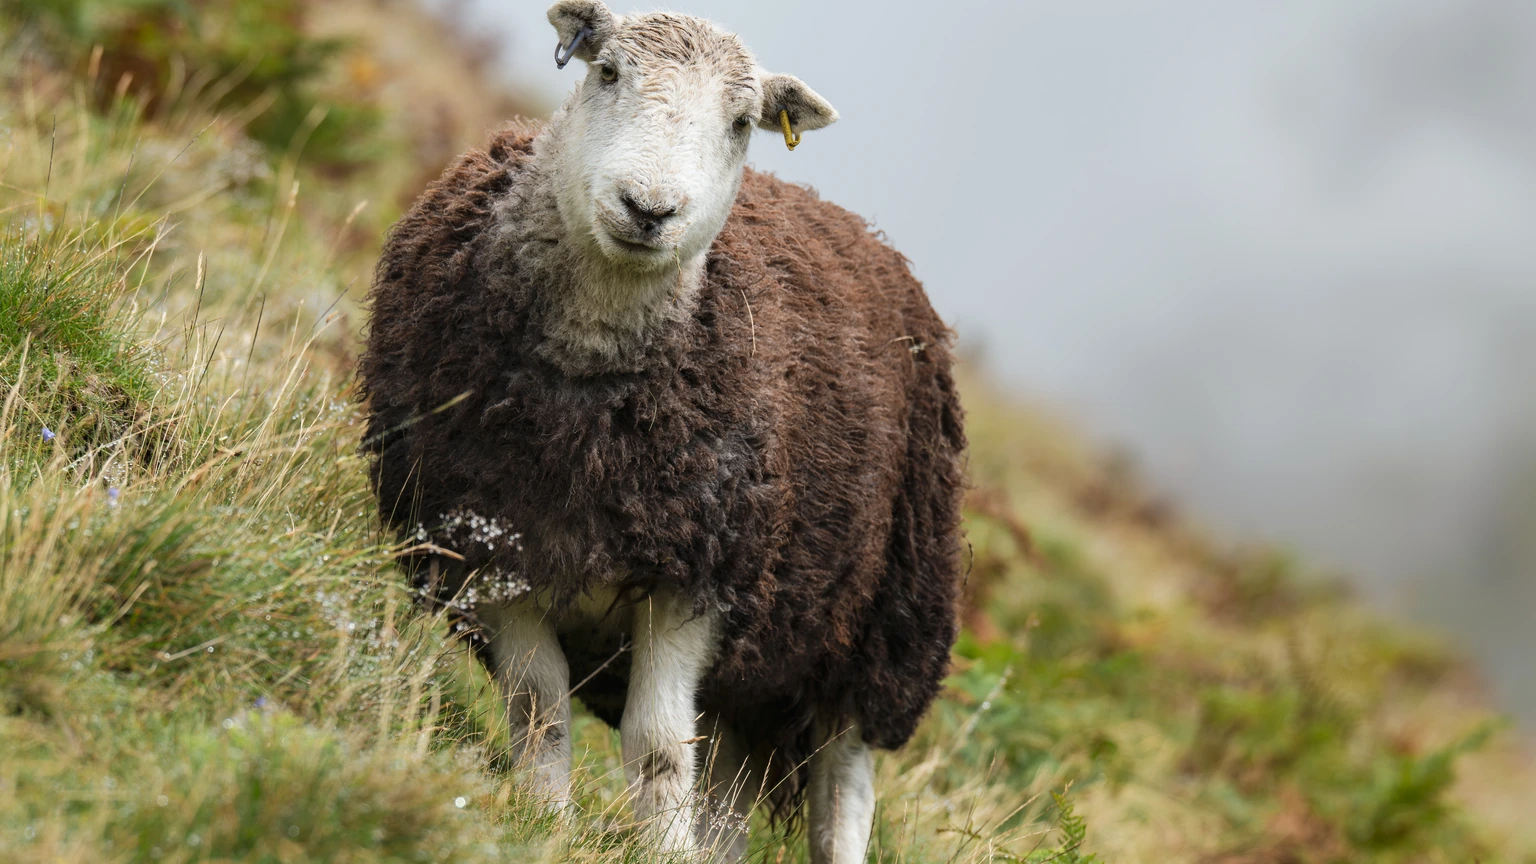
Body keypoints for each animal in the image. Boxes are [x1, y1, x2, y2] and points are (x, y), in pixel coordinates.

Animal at [358, 2, 966, 860]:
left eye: (742, 122)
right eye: (608, 72)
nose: (648, 209)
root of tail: (867, 231)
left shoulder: (697, 576)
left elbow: (654, 745)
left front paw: (660, 848)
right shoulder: (488, 543)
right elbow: (537, 710)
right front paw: (545, 824)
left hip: (879, 629)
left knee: (841, 793)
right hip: (757, 665)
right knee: (728, 791)